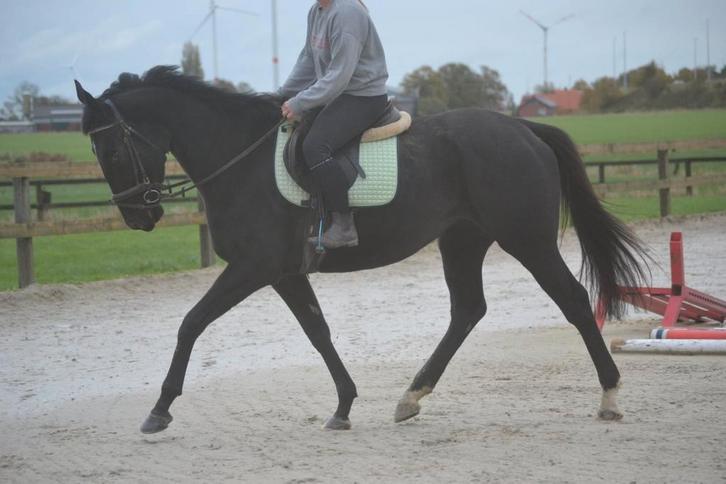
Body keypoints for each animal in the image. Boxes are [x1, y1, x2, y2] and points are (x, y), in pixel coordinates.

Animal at [74, 66, 648, 434]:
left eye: (110, 148)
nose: (138, 216)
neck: (240, 160)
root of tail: (523, 128)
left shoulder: (253, 267)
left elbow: (191, 323)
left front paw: (160, 409)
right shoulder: (284, 272)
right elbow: (318, 332)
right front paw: (345, 406)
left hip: (526, 240)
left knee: (573, 301)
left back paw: (610, 397)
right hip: (462, 240)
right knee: (468, 310)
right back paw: (411, 397)